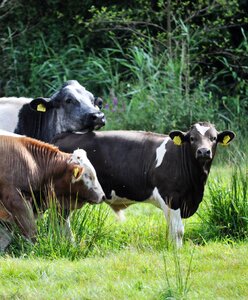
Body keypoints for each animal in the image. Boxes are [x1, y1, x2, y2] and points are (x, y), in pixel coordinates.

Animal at [53, 122, 235, 246]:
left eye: (213, 138)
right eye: (192, 138)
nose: (203, 151)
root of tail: (61, 137)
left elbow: (171, 229)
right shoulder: (171, 197)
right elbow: (178, 231)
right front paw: (177, 251)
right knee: (61, 220)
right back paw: (68, 244)